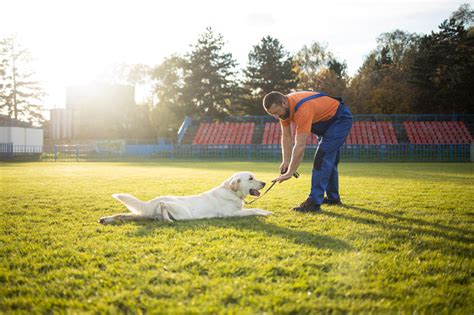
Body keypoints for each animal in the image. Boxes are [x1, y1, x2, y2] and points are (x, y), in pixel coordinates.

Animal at [98, 173, 272, 225]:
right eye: (251, 178)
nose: (265, 182)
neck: (232, 192)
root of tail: (152, 201)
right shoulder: (232, 214)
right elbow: (253, 210)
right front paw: (265, 213)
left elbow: (256, 208)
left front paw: (267, 212)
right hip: (183, 213)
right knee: (164, 205)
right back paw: (168, 219)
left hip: (142, 214)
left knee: (123, 215)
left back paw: (105, 219)